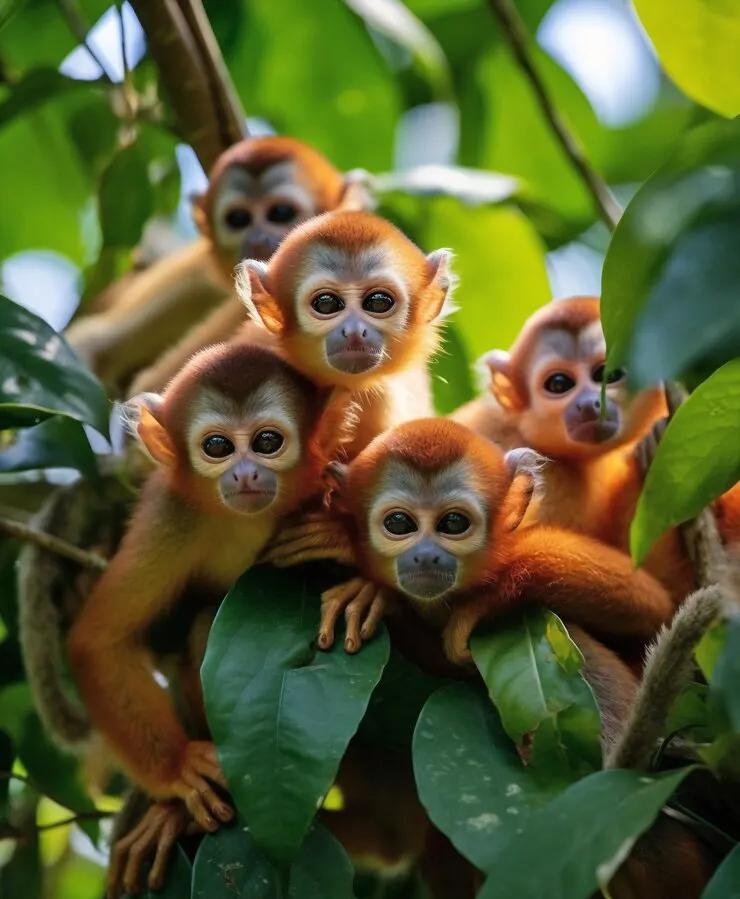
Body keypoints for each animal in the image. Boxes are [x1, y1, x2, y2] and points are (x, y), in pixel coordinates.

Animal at [66, 339, 354, 832]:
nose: (245, 474)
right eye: (217, 446)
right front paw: (178, 769)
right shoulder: (172, 516)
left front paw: (354, 573)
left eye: (267, 442)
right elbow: (97, 643)